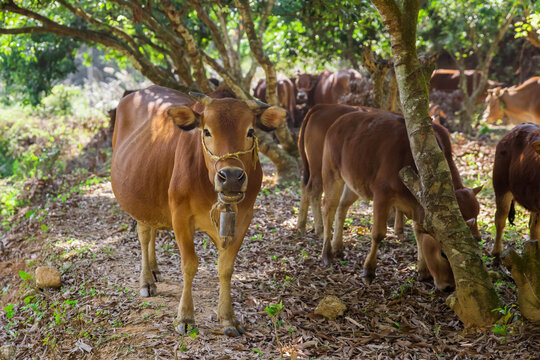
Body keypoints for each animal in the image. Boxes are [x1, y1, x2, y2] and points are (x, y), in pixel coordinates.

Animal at [110, 84, 286, 334]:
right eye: (207, 131)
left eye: (250, 132)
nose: (231, 177)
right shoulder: (180, 218)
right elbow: (189, 265)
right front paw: (185, 317)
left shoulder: (244, 218)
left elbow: (226, 267)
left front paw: (228, 318)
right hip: (138, 200)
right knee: (144, 236)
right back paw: (147, 280)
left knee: (152, 232)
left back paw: (155, 270)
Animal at [322, 111, 484, 292]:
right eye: (443, 253)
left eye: (477, 242)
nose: (449, 287)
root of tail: (340, 120)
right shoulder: (382, 195)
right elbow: (378, 234)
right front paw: (368, 271)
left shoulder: (418, 207)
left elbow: (419, 234)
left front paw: (423, 270)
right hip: (331, 173)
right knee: (328, 209)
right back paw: (327, 254)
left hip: (353, 182)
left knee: (342, 208)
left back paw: (337, 247)